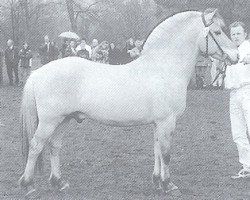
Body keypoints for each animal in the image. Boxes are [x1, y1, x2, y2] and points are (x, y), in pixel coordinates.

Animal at [19, 8, 238, 196]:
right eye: (217, 32)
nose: (235, 56)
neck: (163, 68)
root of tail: (38, 72)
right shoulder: (167, 121)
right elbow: (166, 153)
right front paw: (168, 185)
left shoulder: (158, 123)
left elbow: (157, 150)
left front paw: (157, 182)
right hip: (49, 121)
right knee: (36, 145)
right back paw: (28, 185)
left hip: (64, 120)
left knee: (54, 146)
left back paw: (59, 182)